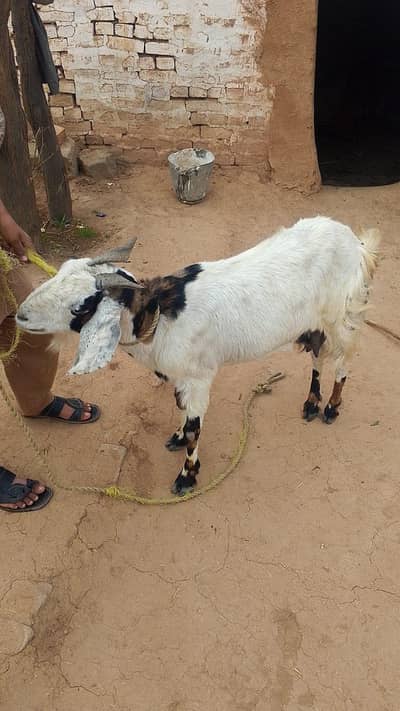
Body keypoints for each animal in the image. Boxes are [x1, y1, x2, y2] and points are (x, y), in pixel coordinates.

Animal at [16, 217, 380, 495]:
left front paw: (187, 477)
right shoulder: (180, 377)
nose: (20, 314)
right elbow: (181, 411)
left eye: (81, 306)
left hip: (343, 317)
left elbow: (195, 429)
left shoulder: (199, 377)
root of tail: (355, 241)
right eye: (60, 271)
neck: (160, 317)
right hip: (314, 326)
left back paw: (331, 407)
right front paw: (177, 439)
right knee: (318, 357)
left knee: (343, 362)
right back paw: (311, 403)